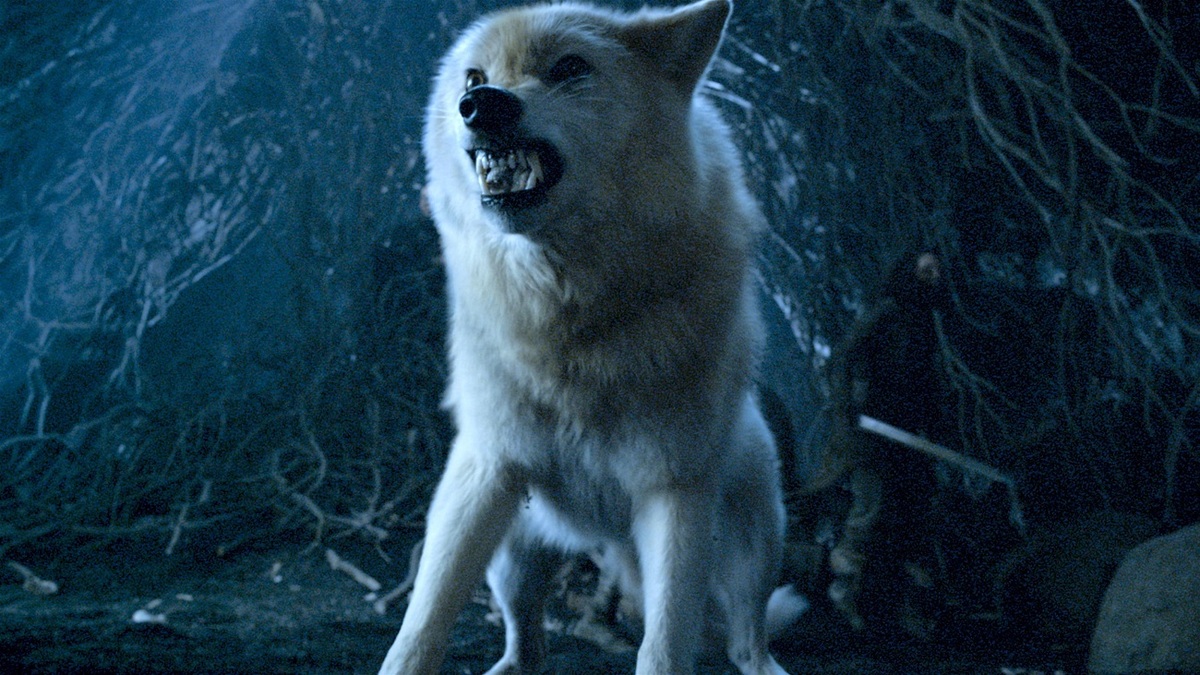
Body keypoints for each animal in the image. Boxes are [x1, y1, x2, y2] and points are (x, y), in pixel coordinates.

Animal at [379, 1, 801, 673]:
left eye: (570, 68)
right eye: (474, 78)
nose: (481, 105)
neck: (572, 319)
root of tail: (606, 538)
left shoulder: (674, 490)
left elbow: (665, 644)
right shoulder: (485, 468)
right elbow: (421, 624)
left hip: (755, 532)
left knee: (746, 636)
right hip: (511, 554)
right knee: (527, 640)